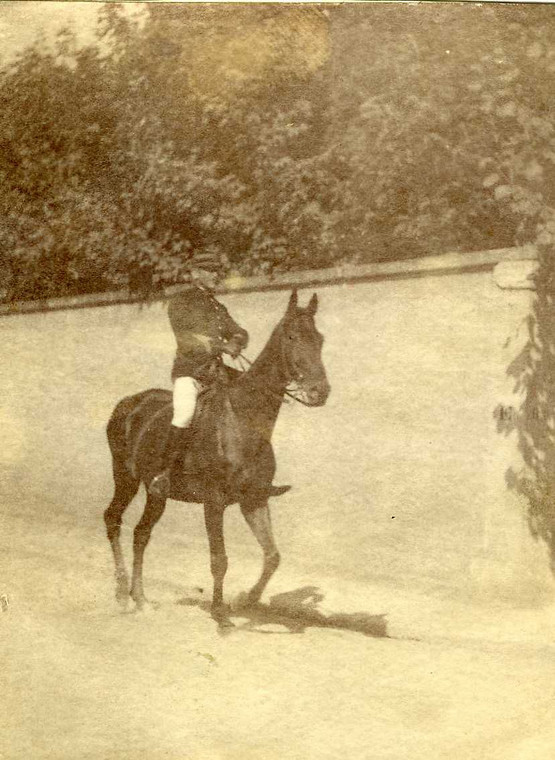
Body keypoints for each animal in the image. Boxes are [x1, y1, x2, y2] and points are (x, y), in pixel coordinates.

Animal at [104, 289, 330, 626]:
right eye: (291, 336)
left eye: (319, 339)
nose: (320, 392)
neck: (243, 420)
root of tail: (128, 403)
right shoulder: (214, 503)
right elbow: (219, 559)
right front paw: (220, 614)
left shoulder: (254, 500)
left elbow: (272, 556)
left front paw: (245, 599)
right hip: (125, 478)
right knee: (113, 520)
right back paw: (121, 595)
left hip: (155, 494)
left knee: (141, 533)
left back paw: (141, 598)